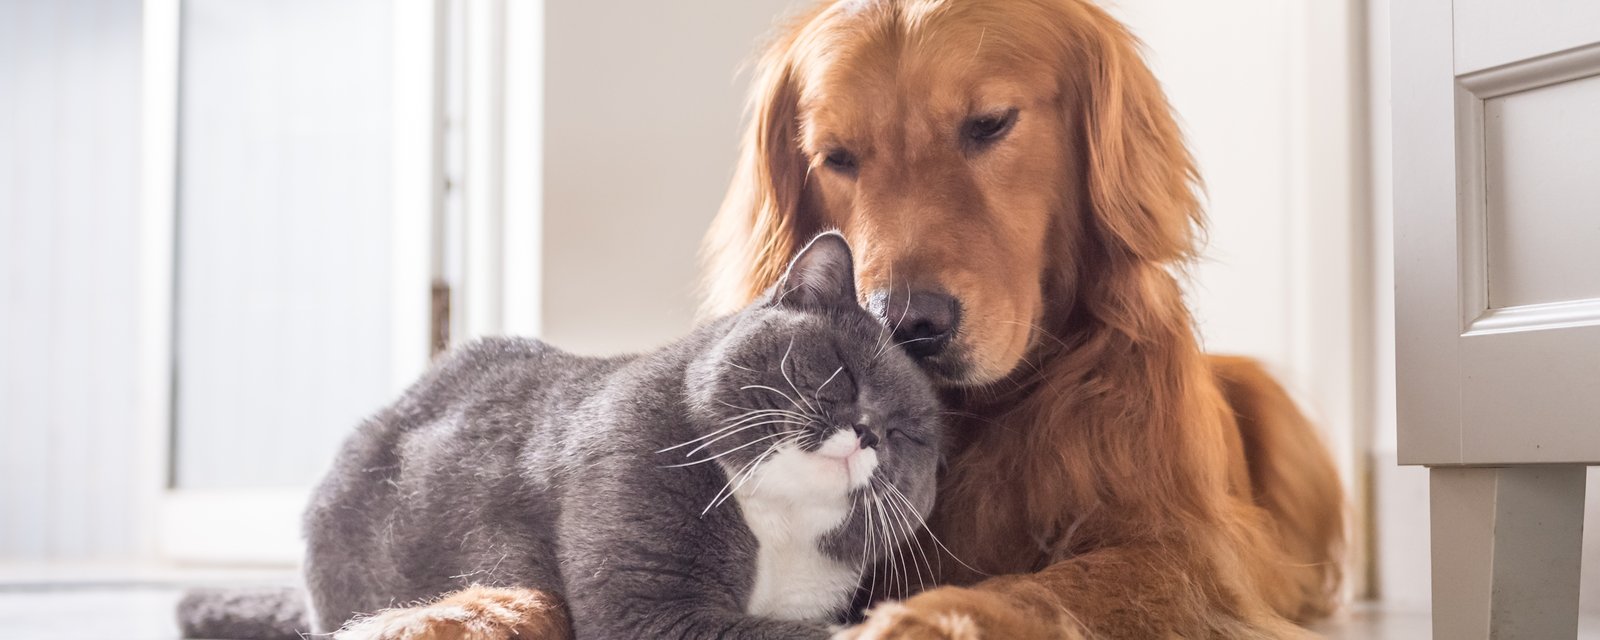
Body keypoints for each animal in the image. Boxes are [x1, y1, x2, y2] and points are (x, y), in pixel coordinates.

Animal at [707, 0, 1344, 636]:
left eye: (989, 124)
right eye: (835, 156)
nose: (905, 324)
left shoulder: (1189, 553)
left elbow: (1052, 586)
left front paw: (933, 617)